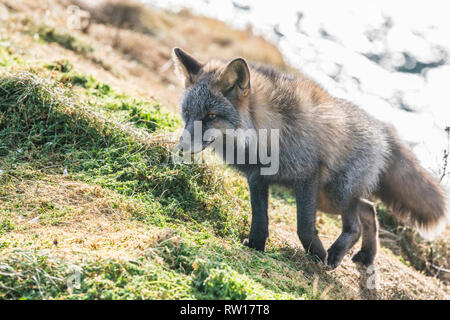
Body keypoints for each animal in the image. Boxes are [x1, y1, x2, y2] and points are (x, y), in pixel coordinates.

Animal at [171, 46, 446, 268]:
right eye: (187, 112)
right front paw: (256, 247)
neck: (266, 134)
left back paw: (336, 254)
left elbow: (304, 226)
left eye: (211, 116)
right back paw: (367, 255)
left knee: (357, 224)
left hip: (338, 192)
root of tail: (381, 129)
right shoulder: (257, 177)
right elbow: (260, 219)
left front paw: (317, 255)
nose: (181, 147)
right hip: (329, 199)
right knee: (369, 209)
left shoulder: (306, 175)